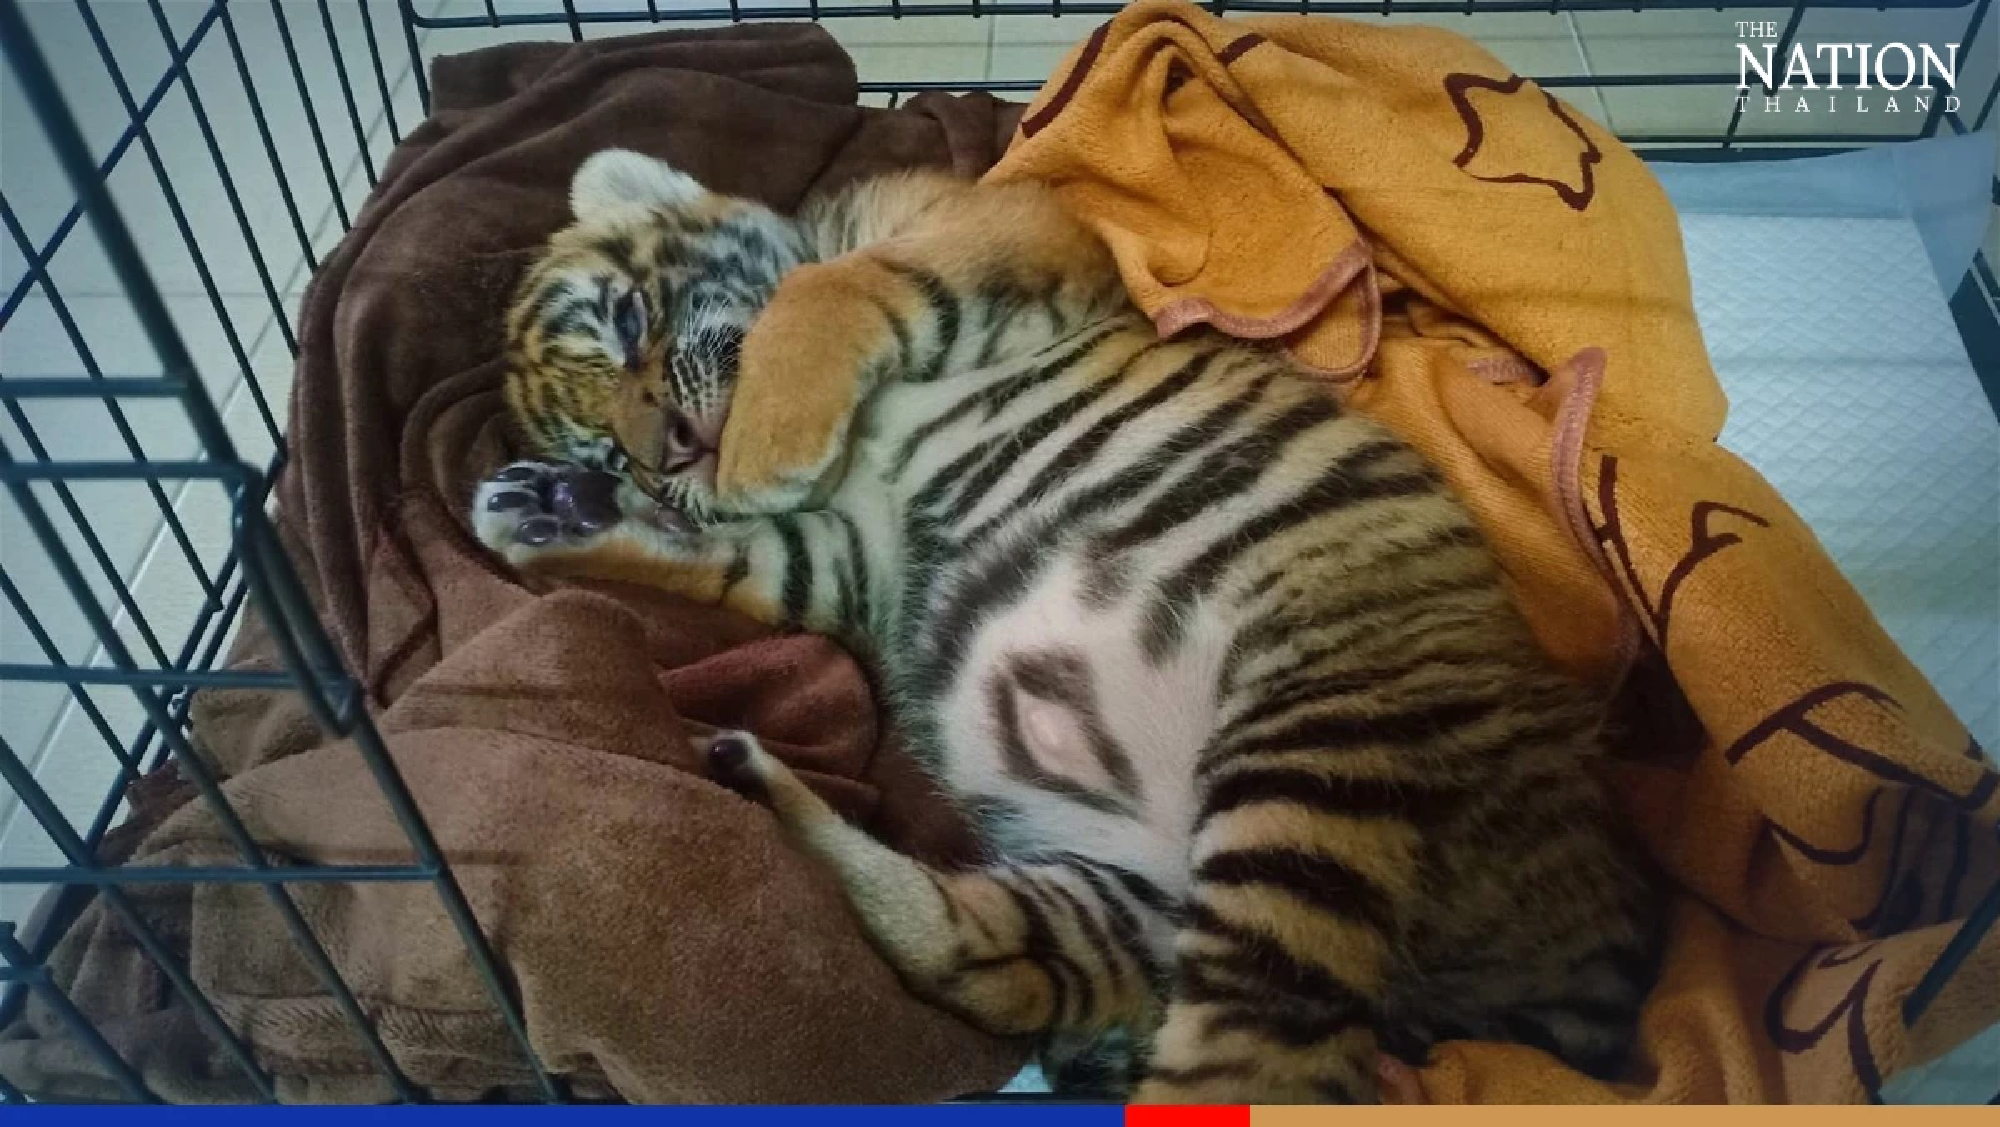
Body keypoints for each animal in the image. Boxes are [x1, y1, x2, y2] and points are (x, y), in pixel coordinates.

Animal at [471, 148, 1661, 1104]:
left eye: (630, 322)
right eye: (607, 447)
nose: (665, 450)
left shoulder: (1003, 231)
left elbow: (833, 285)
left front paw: (760, 445)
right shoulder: (853, 547)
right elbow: (725, 557)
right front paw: (543, 510)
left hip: (1320, 757)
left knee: (1259, 1060)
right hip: (1126, 893)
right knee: (986, 961)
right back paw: (749, 774)